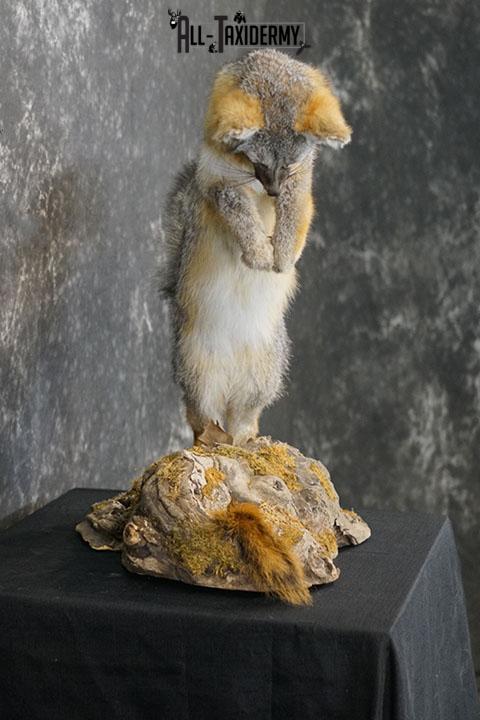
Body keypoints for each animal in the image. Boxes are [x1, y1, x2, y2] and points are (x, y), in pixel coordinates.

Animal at [161, 49, 351, 445]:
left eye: (290, 166)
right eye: (258, 163)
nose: (273, 192)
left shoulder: (301, 185)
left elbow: (295, 219)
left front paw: (283, 256)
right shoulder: (220, 185)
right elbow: (242, 220)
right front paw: (259, 254)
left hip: (262, 382)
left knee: (242, 421)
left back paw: (249, 441)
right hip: (198, 378)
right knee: (200, 419)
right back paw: (210, 441)